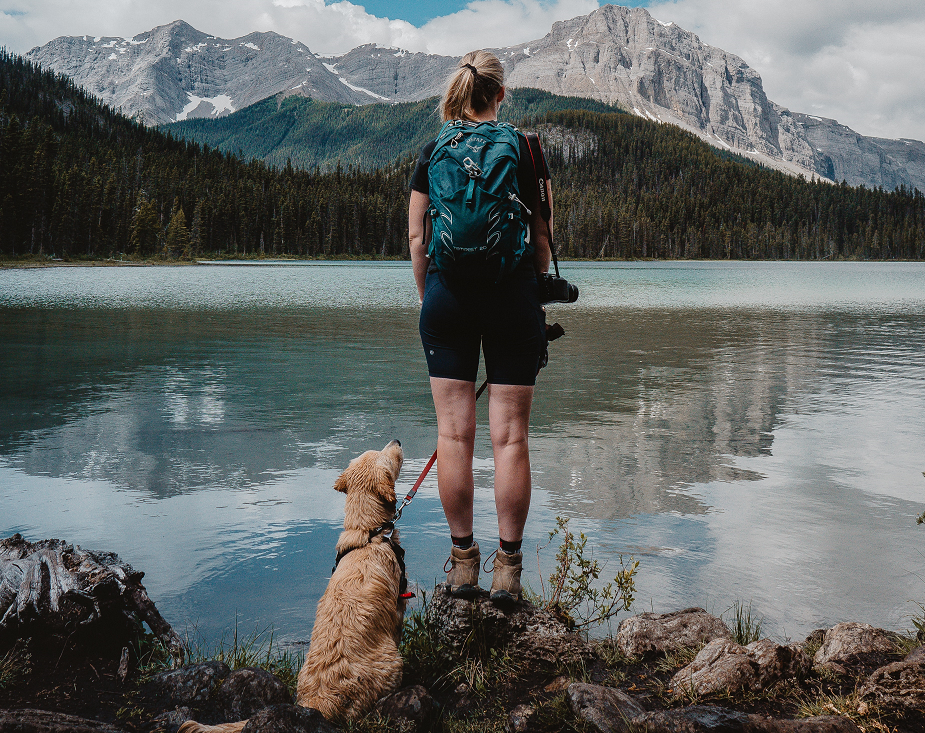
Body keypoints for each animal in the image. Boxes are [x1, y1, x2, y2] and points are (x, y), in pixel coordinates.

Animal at [180, 438, 408, 728]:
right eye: (385, 456)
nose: (396, 441)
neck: (368, 534)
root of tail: (316, 703)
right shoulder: (398, 605)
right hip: (392, 663)